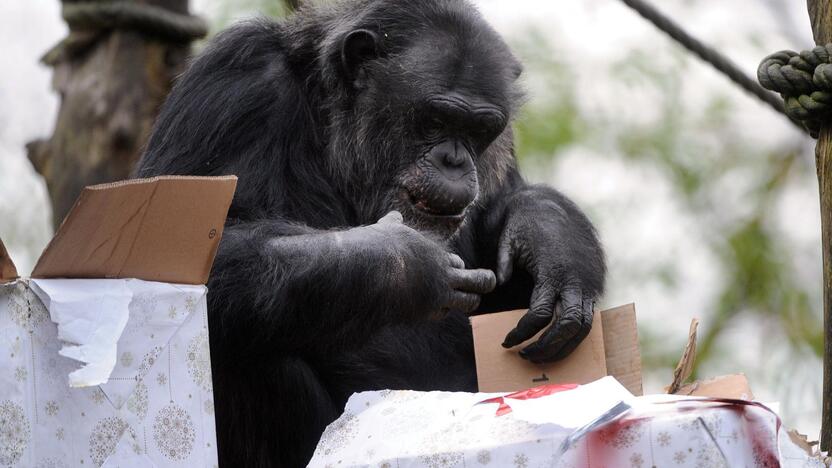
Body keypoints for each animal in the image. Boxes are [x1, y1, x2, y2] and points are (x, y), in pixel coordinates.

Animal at [136, 0, 604, 468]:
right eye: (436, 119)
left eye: (479, 130)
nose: (454, 161)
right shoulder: (234, 79)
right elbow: (177, 255)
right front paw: (405, 263)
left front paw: (550, 238)